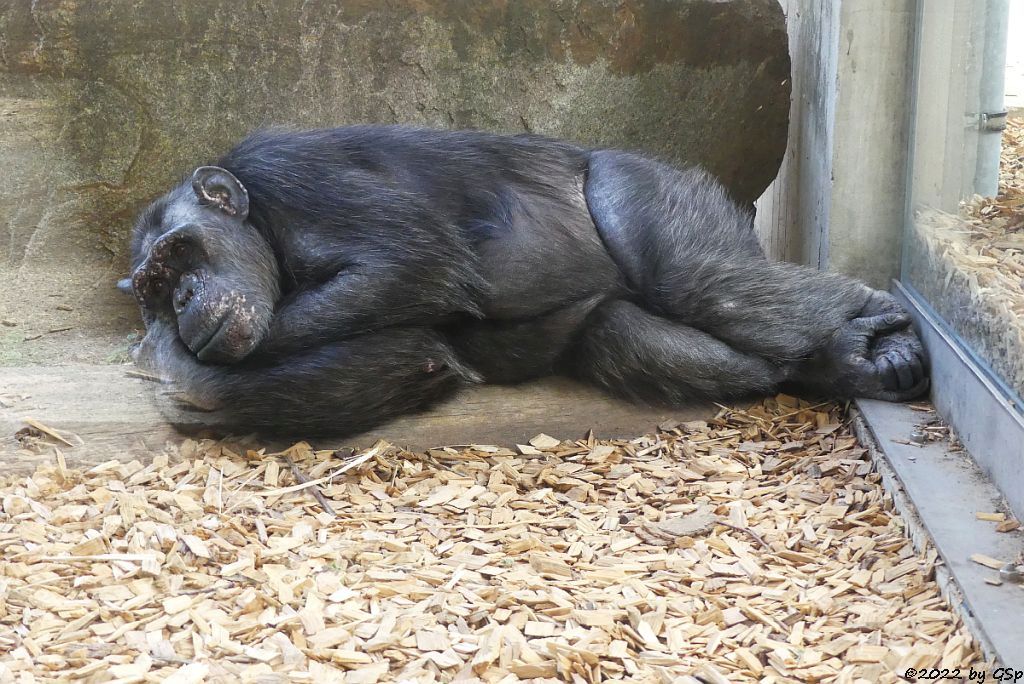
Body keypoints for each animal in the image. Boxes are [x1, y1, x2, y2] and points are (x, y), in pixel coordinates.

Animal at [121, 125, 929, 436]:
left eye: (179, 256)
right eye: (156, 283)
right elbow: (402, 355)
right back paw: (835, 363)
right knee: (639, 337)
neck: (264, 225)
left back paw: (878, 323)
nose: (181, 298)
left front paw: (165, 356)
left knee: (701, 278)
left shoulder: (296, 175)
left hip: (651, 187)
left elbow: (408, 264)